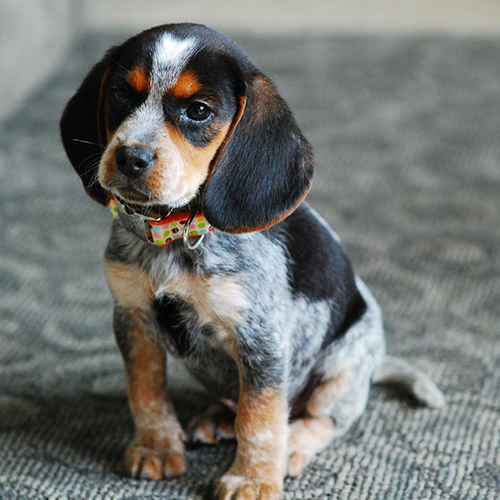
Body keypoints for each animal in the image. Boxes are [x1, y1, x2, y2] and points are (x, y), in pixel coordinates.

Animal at [59, 23, 446, 500]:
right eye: (119, 96)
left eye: (199, 111)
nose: (130, 157)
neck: (176, 236)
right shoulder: (133, 318)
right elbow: (146, 391)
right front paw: (155, 447)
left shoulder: (260, 340)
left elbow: (260, 419)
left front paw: (254, 478)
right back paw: (217, 418)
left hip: (344, 365)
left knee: (322, 419)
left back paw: (293, 445)